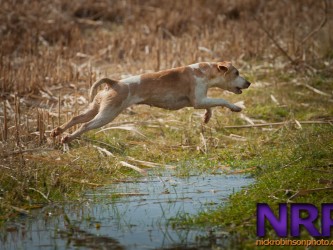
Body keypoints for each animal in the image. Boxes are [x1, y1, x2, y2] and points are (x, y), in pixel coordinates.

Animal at [50, 61, 250, 144]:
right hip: (106, 115)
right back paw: (67, 138)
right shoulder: (198, 100)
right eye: (237, 73)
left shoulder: (200, 101)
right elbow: (222, 100)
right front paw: (235, 107)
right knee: (85, 126)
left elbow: (211, 106)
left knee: (76, 119)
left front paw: (207, 117)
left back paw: (57, 132)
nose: (248, 83)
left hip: (95, 109)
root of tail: (114, 83)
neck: (204, 71)